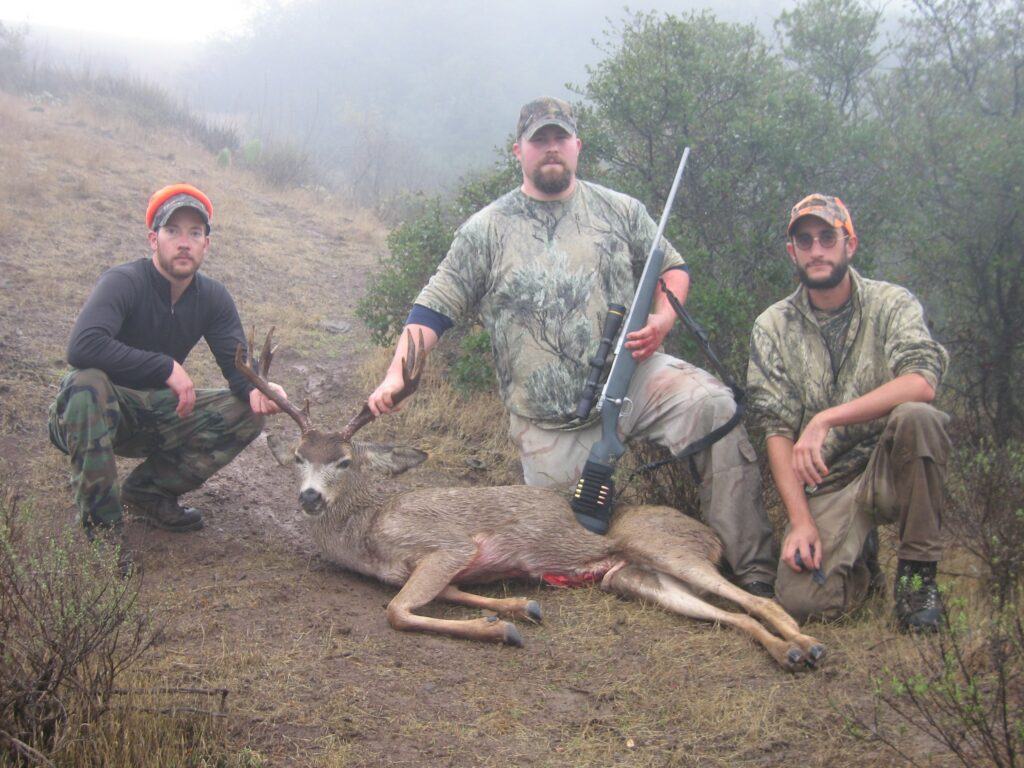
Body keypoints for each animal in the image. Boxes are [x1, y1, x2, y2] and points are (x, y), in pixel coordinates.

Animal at [235, 331, 827, 671]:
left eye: (344, 461)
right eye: (297, 458)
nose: (310, 498)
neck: (365, 533)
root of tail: (704, 533)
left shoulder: (447, 545)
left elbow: (400, 610)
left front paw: (503, 628)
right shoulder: (445, 567)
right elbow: (452, 594)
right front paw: (521, 607)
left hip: (661, 546)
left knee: (760, 600)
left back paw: (811, 644)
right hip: (633, 578)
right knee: (728, 615)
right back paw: (790, 652)